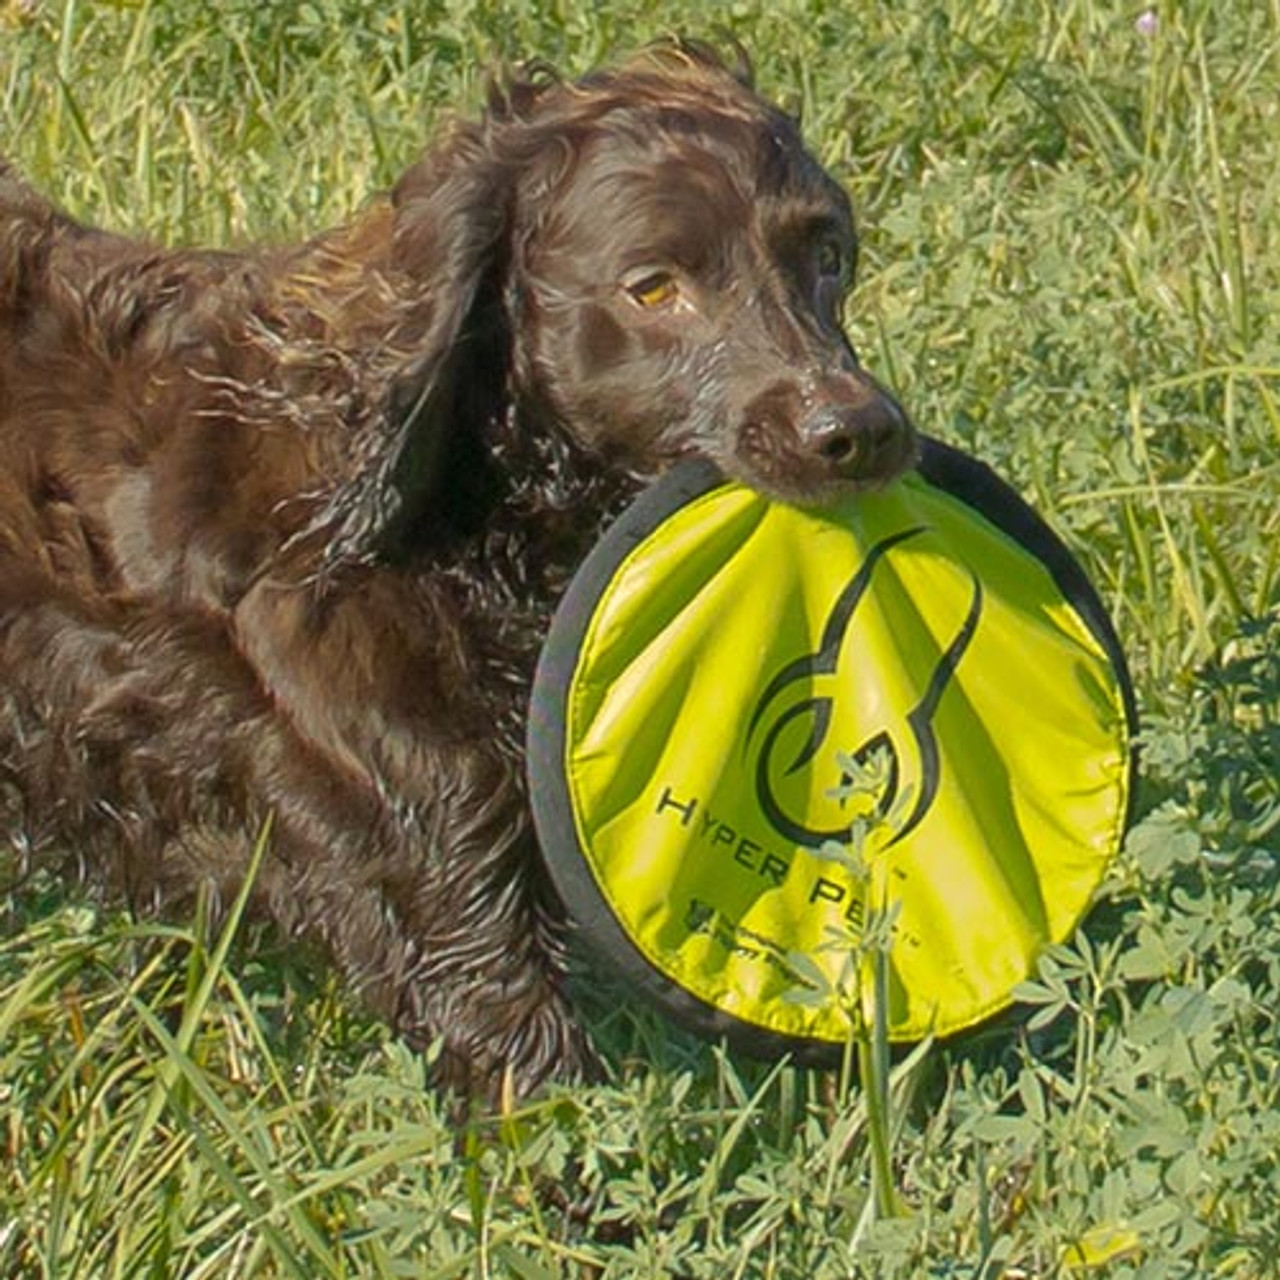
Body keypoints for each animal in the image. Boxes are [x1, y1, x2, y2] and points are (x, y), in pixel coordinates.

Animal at [0, 42, 921, 1100]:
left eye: (828, 254)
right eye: (653, 286)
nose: (856, 434)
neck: (463, 524)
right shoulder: (431, 843)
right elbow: (533, 1071)